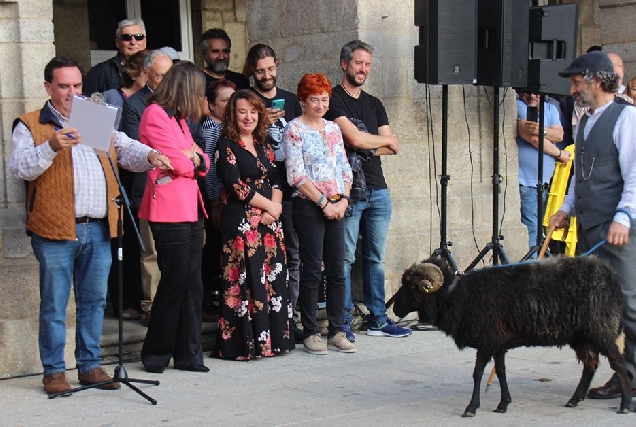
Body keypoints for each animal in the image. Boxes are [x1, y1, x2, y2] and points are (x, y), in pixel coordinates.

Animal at [392, 256, 632, 416]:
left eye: (411, 286)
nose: (394, 309)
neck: (457, 295)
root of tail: (611, 278)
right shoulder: (498, 343)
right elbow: (501, 373)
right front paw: (503, 404)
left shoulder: (487, 340)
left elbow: (478, 374)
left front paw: (471, 408)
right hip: (581, 336)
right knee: (590, 365)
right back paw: (574, 400)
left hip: (601, 330)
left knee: (619, 364)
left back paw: (625, 405)